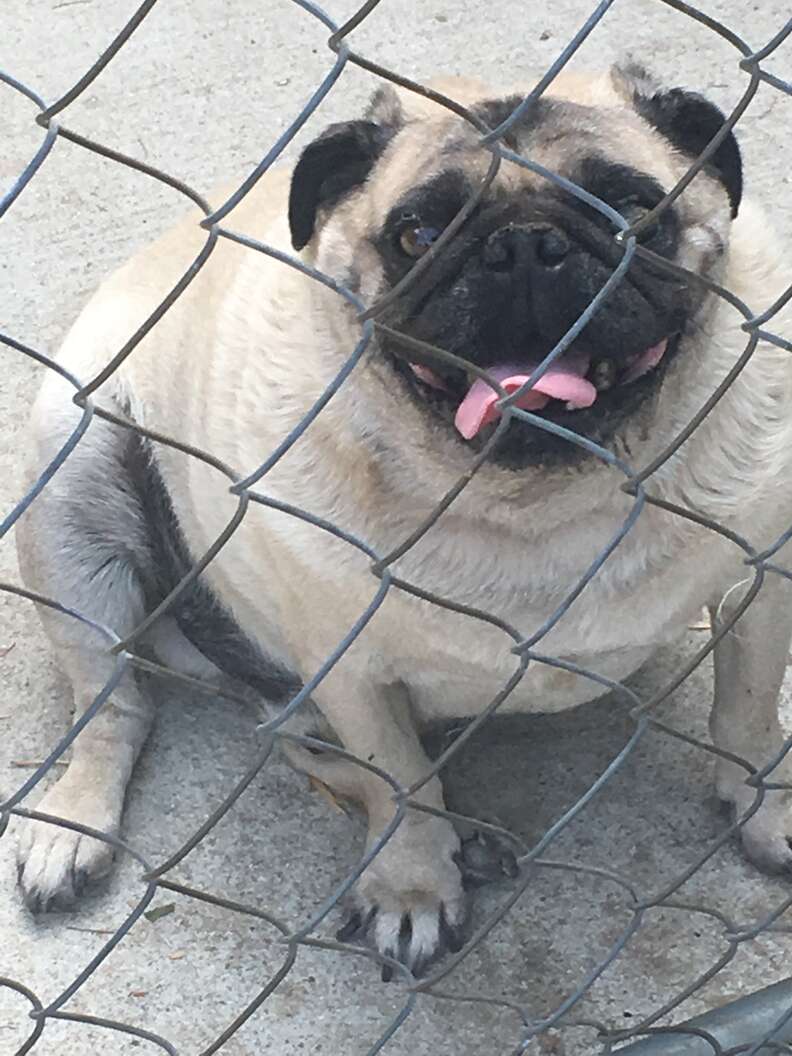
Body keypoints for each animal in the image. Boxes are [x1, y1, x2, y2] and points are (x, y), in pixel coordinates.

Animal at [10, 63, 792, 971]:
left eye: (632, 212)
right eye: (417, 235)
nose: (526, 247)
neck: (537, 505)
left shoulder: (761, 584)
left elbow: (747, 710)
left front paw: (768, 805)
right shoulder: (349, 668)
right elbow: (400, 781)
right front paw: (413, 883)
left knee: (287, 736)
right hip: (69, 479)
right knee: (114, 705)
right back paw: (72, 826)